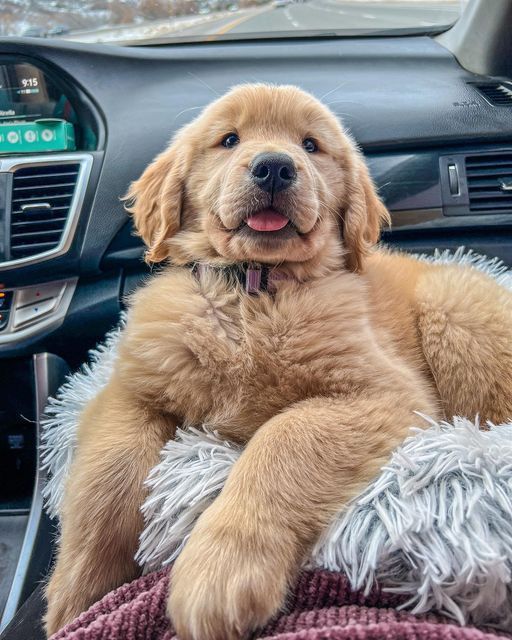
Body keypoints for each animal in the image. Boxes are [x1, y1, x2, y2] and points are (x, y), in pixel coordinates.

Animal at [45, 85, 512, 640]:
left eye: (310, 145)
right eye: (229, 139)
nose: (273, 167)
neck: (253, 291)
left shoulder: (383, 393)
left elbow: (282, 441)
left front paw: (220, 571)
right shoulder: (130, 391)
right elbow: (106, 477)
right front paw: (79, 594)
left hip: (452, 307)